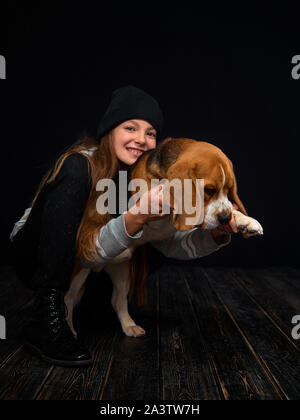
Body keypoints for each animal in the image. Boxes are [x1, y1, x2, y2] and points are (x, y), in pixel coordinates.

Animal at [65, 138, 262, 338]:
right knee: (68, 299)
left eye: (229, 190)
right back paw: (70, 329)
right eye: (208, 190)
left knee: (117, 300)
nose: (225, 218)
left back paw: (129, 325)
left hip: (122, 271)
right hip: (79, 271)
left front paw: (244, 220)